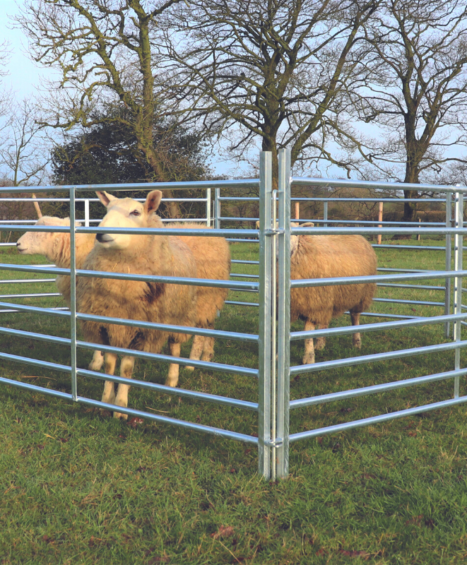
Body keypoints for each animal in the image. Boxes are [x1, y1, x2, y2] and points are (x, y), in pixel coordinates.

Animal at [77, 192, 198, 416]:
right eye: (107, 210)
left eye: (135, 212)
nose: (100, 234)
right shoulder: (107, 324)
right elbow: (109, 366)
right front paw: (105, 401)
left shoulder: (139, 328)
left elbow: (126, 369)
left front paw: (120, 408)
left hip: (179, 316)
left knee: (174, 349)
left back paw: (171, 382)